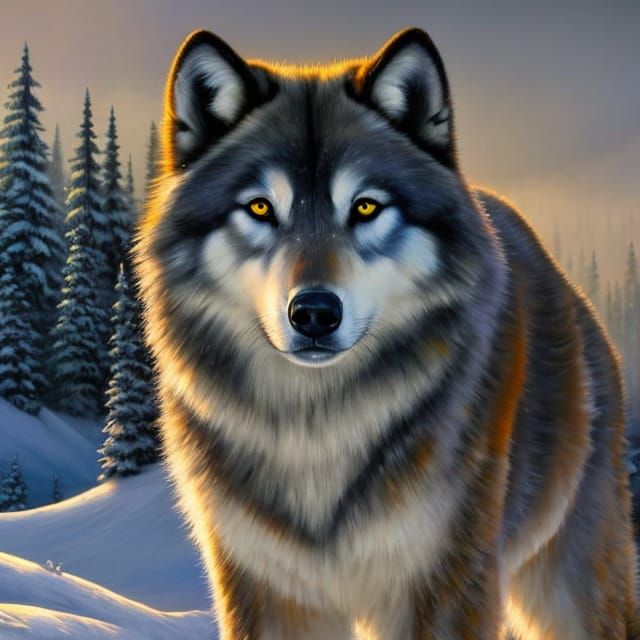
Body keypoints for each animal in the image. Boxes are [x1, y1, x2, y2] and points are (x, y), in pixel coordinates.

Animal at [134, 27, 639, 639]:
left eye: (366, 207)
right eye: (259, 207)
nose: (315, 312)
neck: (315, 429)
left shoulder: (446, 581)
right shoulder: (265, 588)